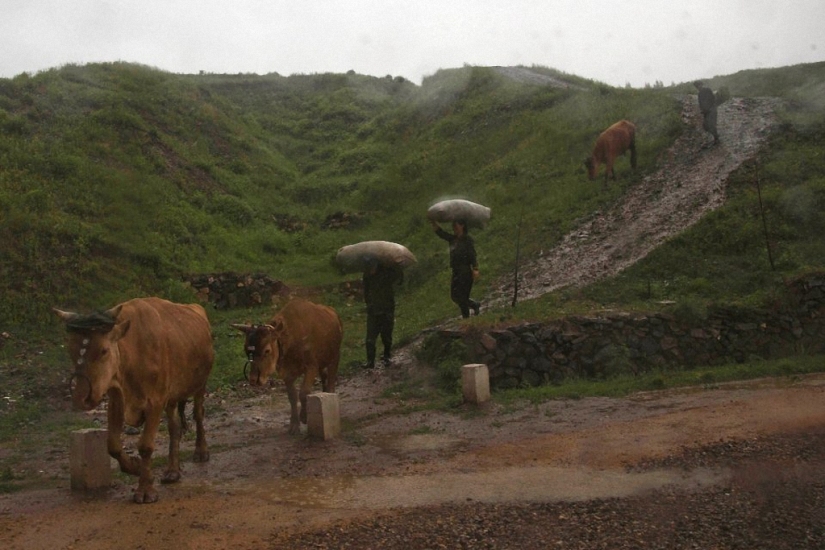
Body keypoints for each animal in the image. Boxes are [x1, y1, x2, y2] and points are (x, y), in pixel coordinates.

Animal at [54, 298, 212, 504]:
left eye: (104, 350)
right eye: (71, 350)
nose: (82, 397)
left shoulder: (155, 401)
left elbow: (145, 446)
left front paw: (145, 489)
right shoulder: (116, 399)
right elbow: (112, 445)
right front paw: (135, 467)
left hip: (200, 384)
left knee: (199, 414)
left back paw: (201, 451)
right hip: (172, 395)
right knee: (174, 427)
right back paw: (172, 470)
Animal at [233, 300, 342, 438]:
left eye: (267, 350)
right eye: (246, 349)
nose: (254, 379)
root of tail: (335, 314)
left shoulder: (311, 366)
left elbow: (303, 392)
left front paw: (304, 417)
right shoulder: (287, 373)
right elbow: (292, 397)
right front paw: (294, 425)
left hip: (335, 357)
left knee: (332, 380)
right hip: (322, 363)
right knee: (325, 377)